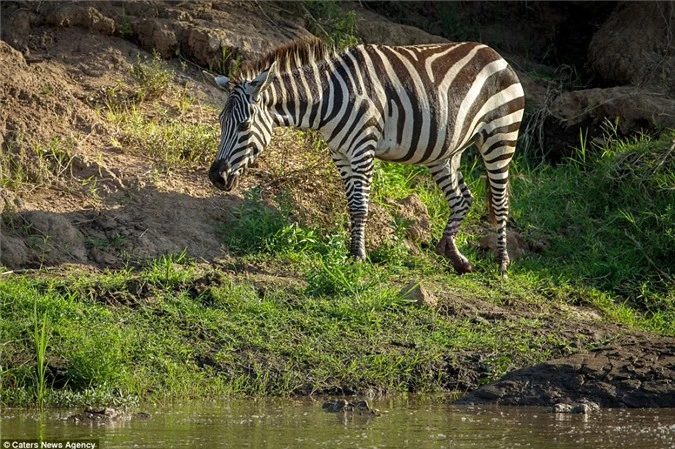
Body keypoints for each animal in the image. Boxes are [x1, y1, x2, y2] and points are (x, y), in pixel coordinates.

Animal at [206, 38, 528, 274]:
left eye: (244, 125)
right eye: (221, 123)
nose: (216, 177)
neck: (327, 96)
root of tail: (494, 54)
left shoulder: (363, 149)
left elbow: (361, 206)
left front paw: (358, 256)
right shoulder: (340, 154)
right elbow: (351, 205)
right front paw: (352, 250)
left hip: (501, 137)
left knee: (500, 203)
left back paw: (502, 264)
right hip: (447, 151)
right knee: (462, 198)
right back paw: (453, 255)